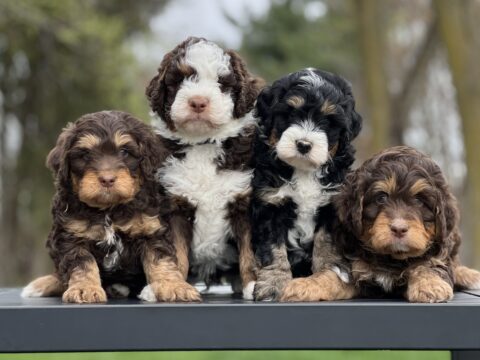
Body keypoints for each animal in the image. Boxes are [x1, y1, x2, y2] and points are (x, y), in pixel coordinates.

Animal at [21, 111, 199, 302]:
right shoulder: (70, 236)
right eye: (85, 155)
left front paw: (173, 286)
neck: (110, 209)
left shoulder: (151, 229)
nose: (107, 179)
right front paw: (85, 289)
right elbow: (82, 263)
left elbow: (161, 260)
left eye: (124, 152)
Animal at [141, 37, 262, 300]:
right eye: (180, 80)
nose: (198, 102)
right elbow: (174, 253)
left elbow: (250, 250)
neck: (203, 144)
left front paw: (255, 283)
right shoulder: (174, 205)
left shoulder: (244, 201)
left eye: (221, 83)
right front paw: (171, 286)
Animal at [251, 68, 364, 300]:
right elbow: (273, 248)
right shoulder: (269, 203)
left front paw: (329, 270)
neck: (303, 169)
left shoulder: (332, 204)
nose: (303, 144)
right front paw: (273, 284)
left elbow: (325, 241)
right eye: (290, 114)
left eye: (327, 122)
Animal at [332, 145, 480, 302]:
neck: (393, 258)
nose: (399, 228)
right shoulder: (354, 264)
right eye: (381, 198)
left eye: (419, 201)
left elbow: (427, 264)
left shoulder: (439, 253)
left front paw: (430, 286)